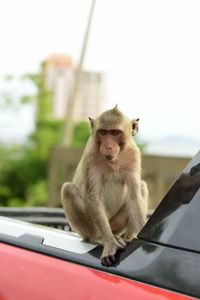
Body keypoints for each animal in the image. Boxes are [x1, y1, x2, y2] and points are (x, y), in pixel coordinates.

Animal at [61, 106, 148, 268]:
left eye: (115, 133)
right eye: (103, 132)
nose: (107, 146)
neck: (114, 160)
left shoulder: (134, 155)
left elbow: (134, 195)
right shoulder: (91, 155)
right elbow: (94, 198)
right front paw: (109, 244)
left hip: (117, 224)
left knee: (142, 186)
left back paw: (127, 237)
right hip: (93, 226)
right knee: (68, 190)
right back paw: (99, 238)